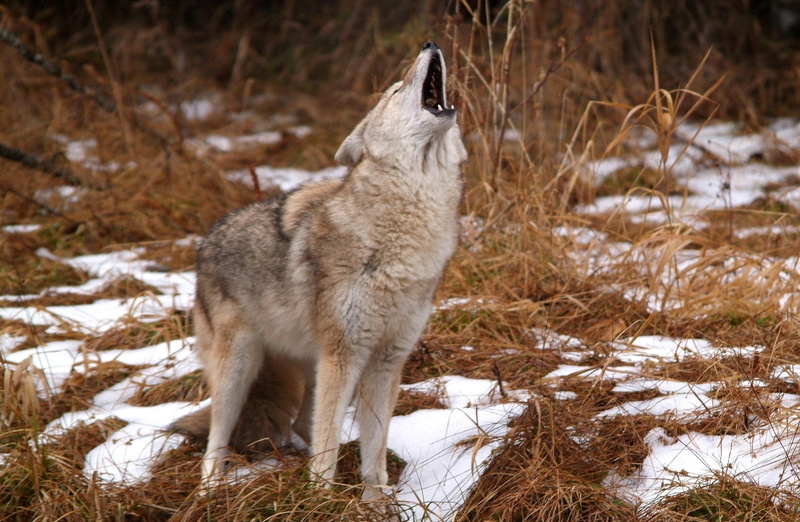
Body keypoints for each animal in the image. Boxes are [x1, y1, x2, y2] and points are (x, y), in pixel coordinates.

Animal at [175, 41, 467, 499]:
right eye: (396, 89)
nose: (429, 44)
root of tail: (206, 240)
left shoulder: (387, 361)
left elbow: (374, 454)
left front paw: (376, 503)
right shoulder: (344, 355)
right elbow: (327, 449)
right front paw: (321, 501)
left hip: (309, 367)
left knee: (300, 423)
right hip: (240, 369)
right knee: (216, 442)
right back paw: (208, 492)